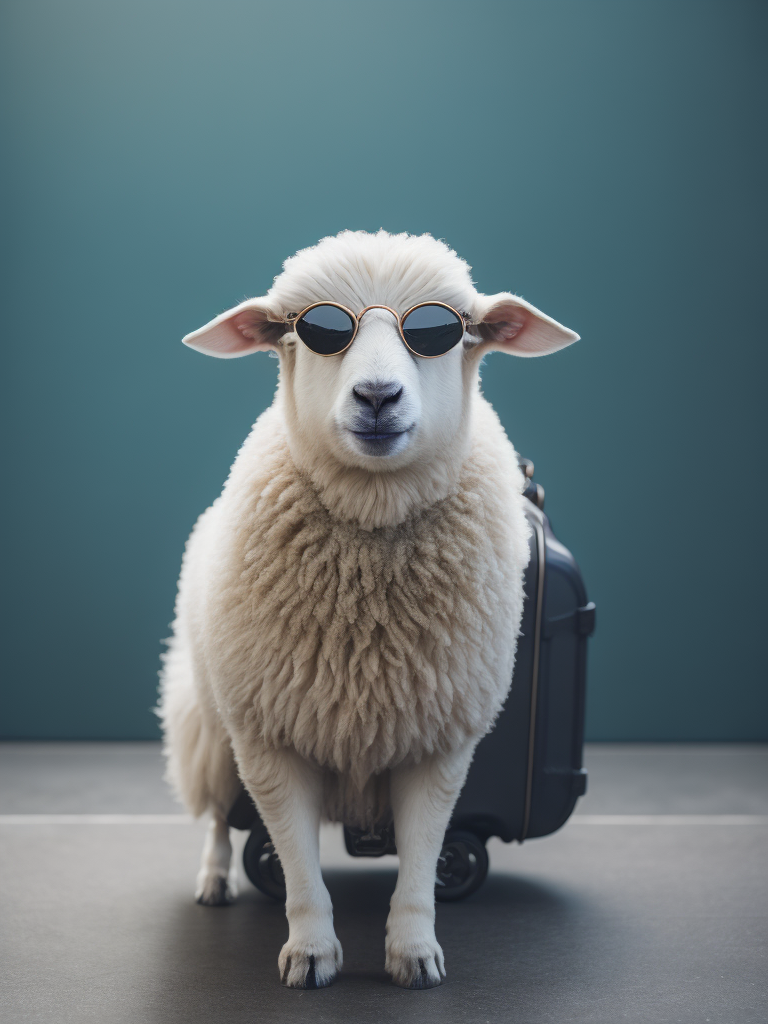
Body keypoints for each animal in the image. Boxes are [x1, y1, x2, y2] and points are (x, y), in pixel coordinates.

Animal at [157, 228, 577, 987]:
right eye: (315, 330)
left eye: (441, 332)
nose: (377, 395)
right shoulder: (269, 739)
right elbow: (296, 863)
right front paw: (310, 951)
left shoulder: (438, 742)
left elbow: (422, 857)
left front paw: (414, 952)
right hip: (210, 718)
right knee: (215, 815)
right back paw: (214, 880)